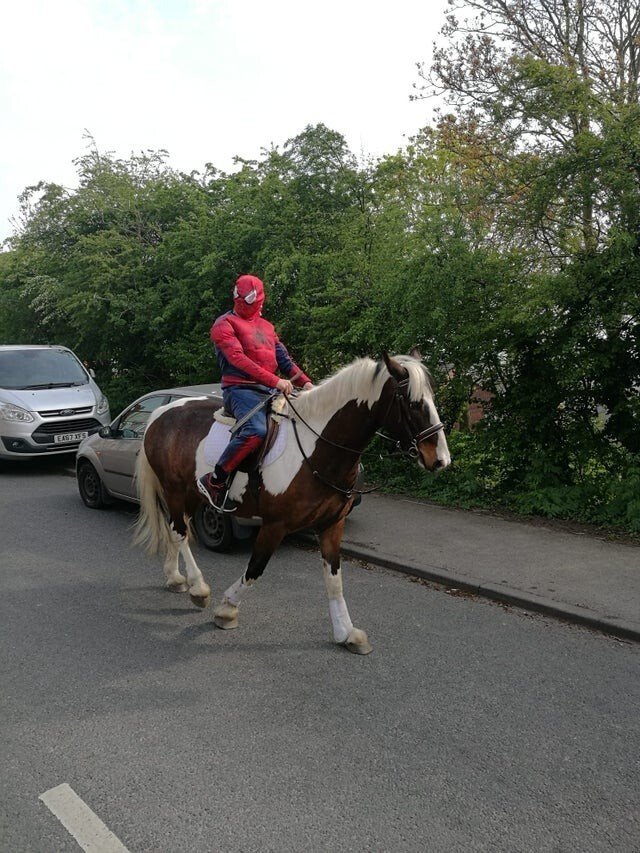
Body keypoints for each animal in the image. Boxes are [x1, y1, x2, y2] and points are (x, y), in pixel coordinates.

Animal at [131, 350, 450, 656]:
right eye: (412, 402)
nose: (440, 460)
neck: (316, 447)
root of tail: (161, 411)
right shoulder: (275, 525)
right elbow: (255, 568)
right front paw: (227, 609)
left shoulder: (332, 524)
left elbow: (334, 578)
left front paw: (346, 633)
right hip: (174, 489)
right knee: (179, 532)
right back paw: (198, 588)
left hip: (191, 495)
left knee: (177, 527)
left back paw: (175, 578)